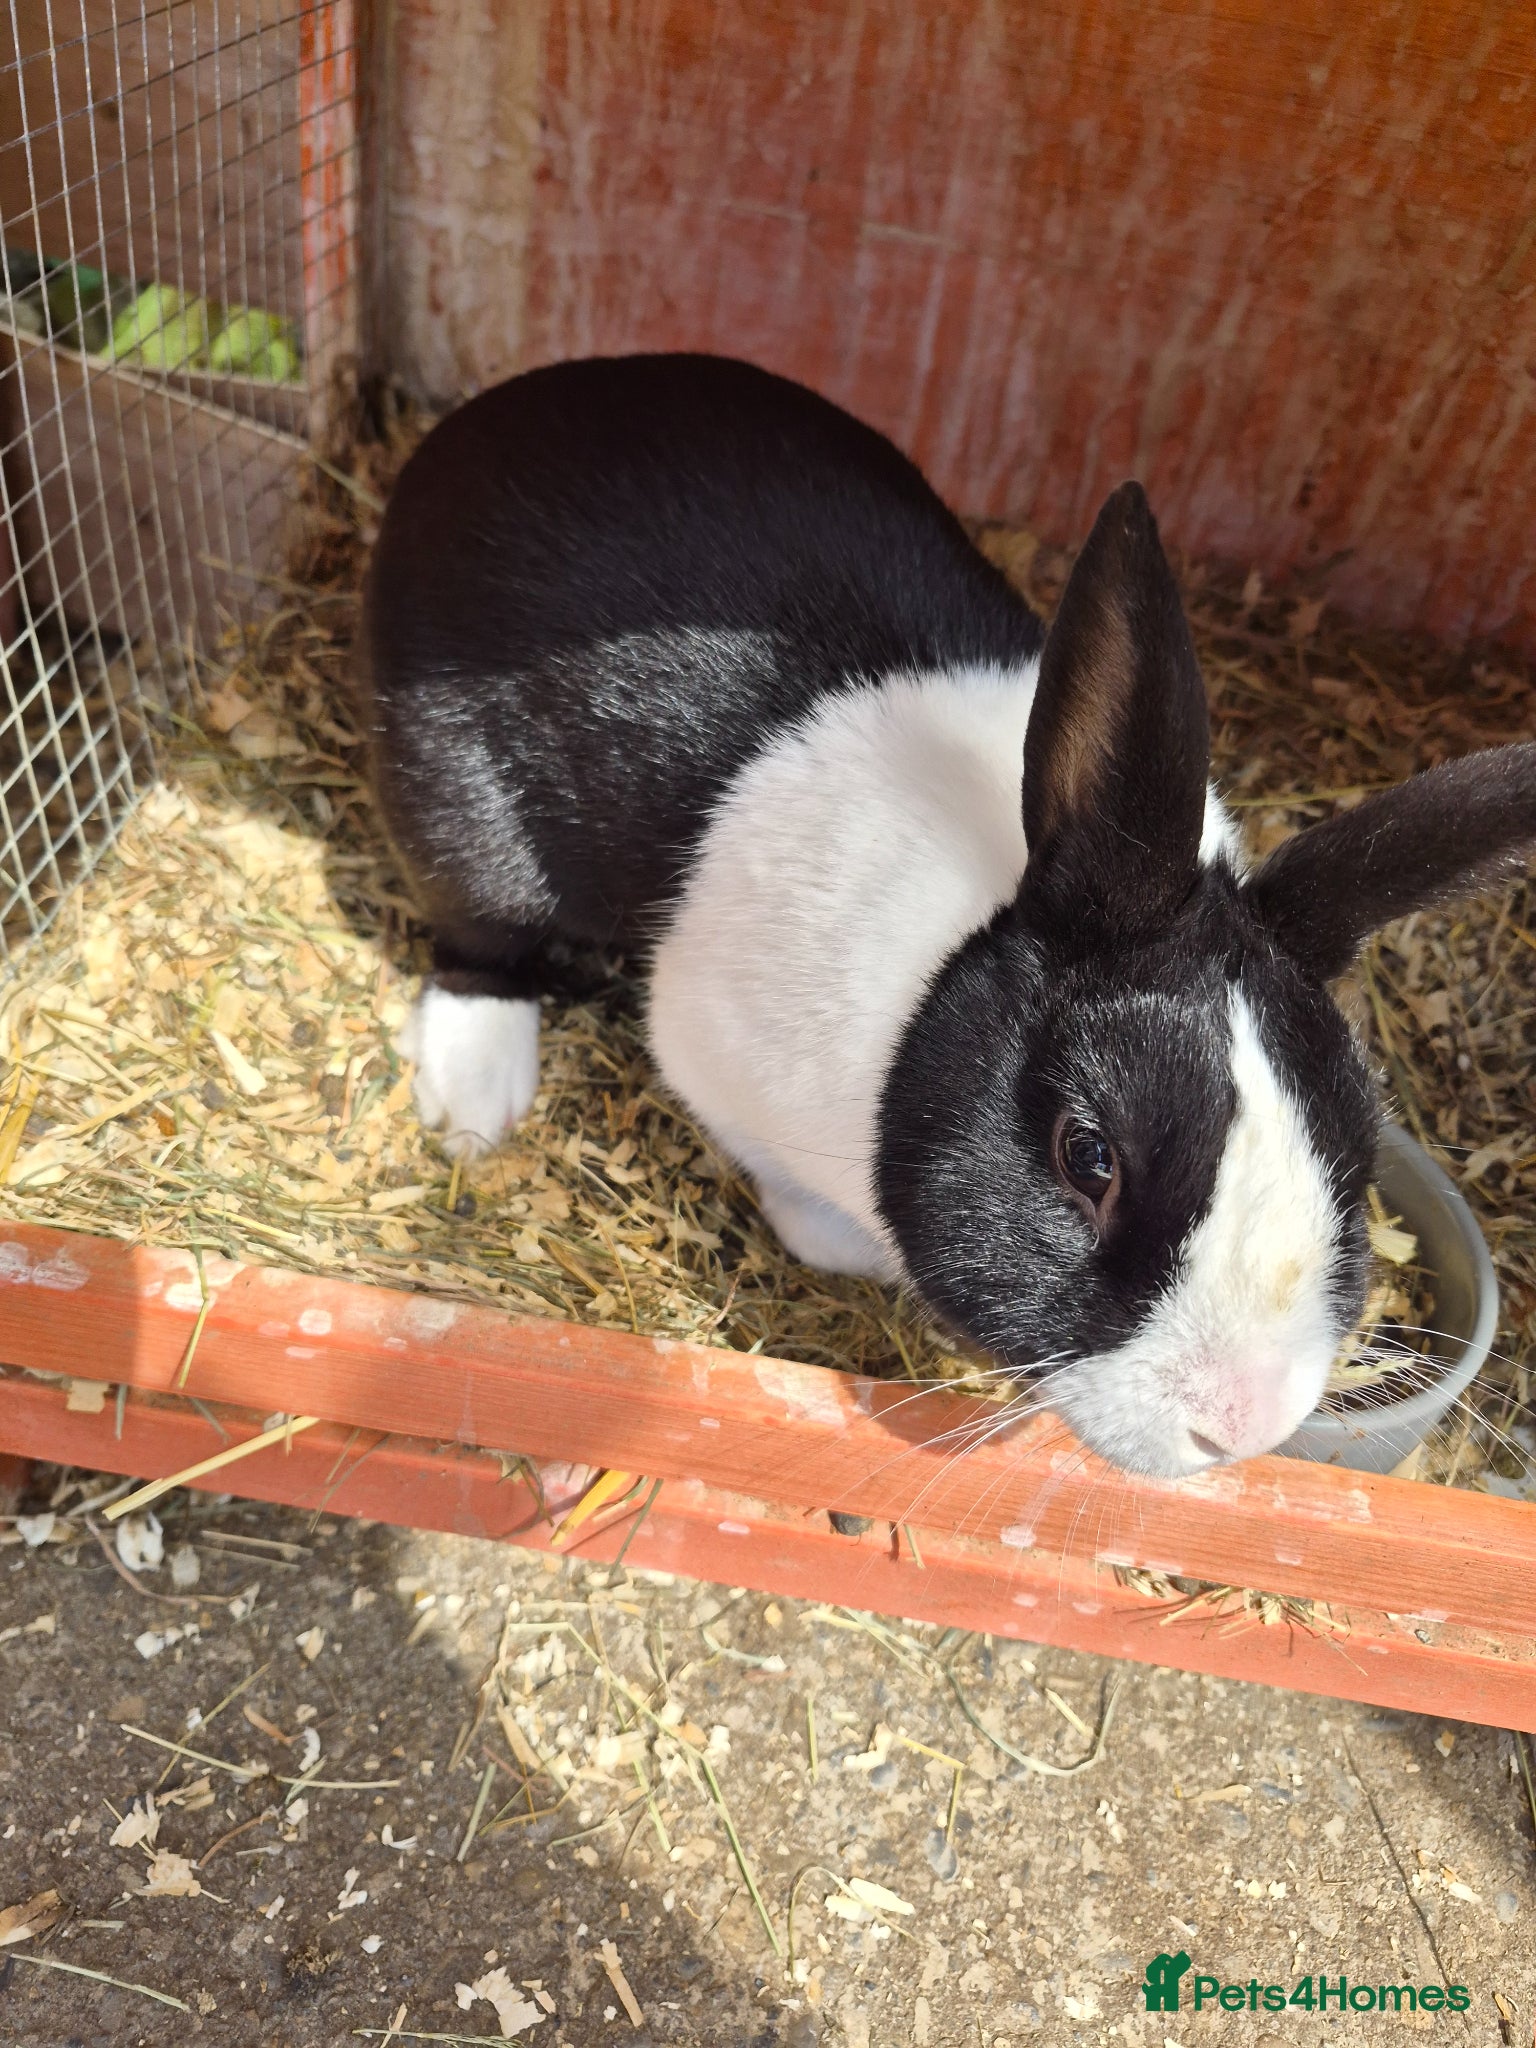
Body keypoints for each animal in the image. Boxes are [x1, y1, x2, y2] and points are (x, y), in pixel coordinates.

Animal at [356, 352, 1536, 1480]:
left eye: (1350, 1154)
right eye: (1087, 1156)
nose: (1239, 1425)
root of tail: (484, 423)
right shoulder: (710, 1053)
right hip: (460, 804)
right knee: (476, 931)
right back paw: (475, 1098)